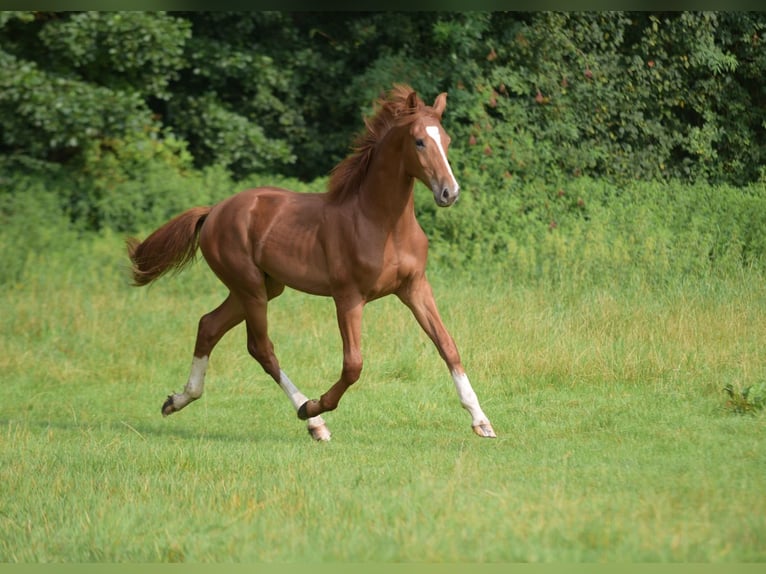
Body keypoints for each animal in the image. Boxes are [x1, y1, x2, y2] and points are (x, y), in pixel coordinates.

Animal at [126, 85, 498, 444]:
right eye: (419, 141)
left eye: (446, 140)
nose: (450, 192)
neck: (382, 224)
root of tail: (213, 211)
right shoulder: (348, 297)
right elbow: (353, 365)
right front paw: (315, 406)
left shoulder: (415, 287)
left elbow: (448, 347)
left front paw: (482, 421)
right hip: (250, 288)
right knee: (261, 348)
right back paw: (312, 419)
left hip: (263, 287)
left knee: (208, 325)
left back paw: (177, 400)